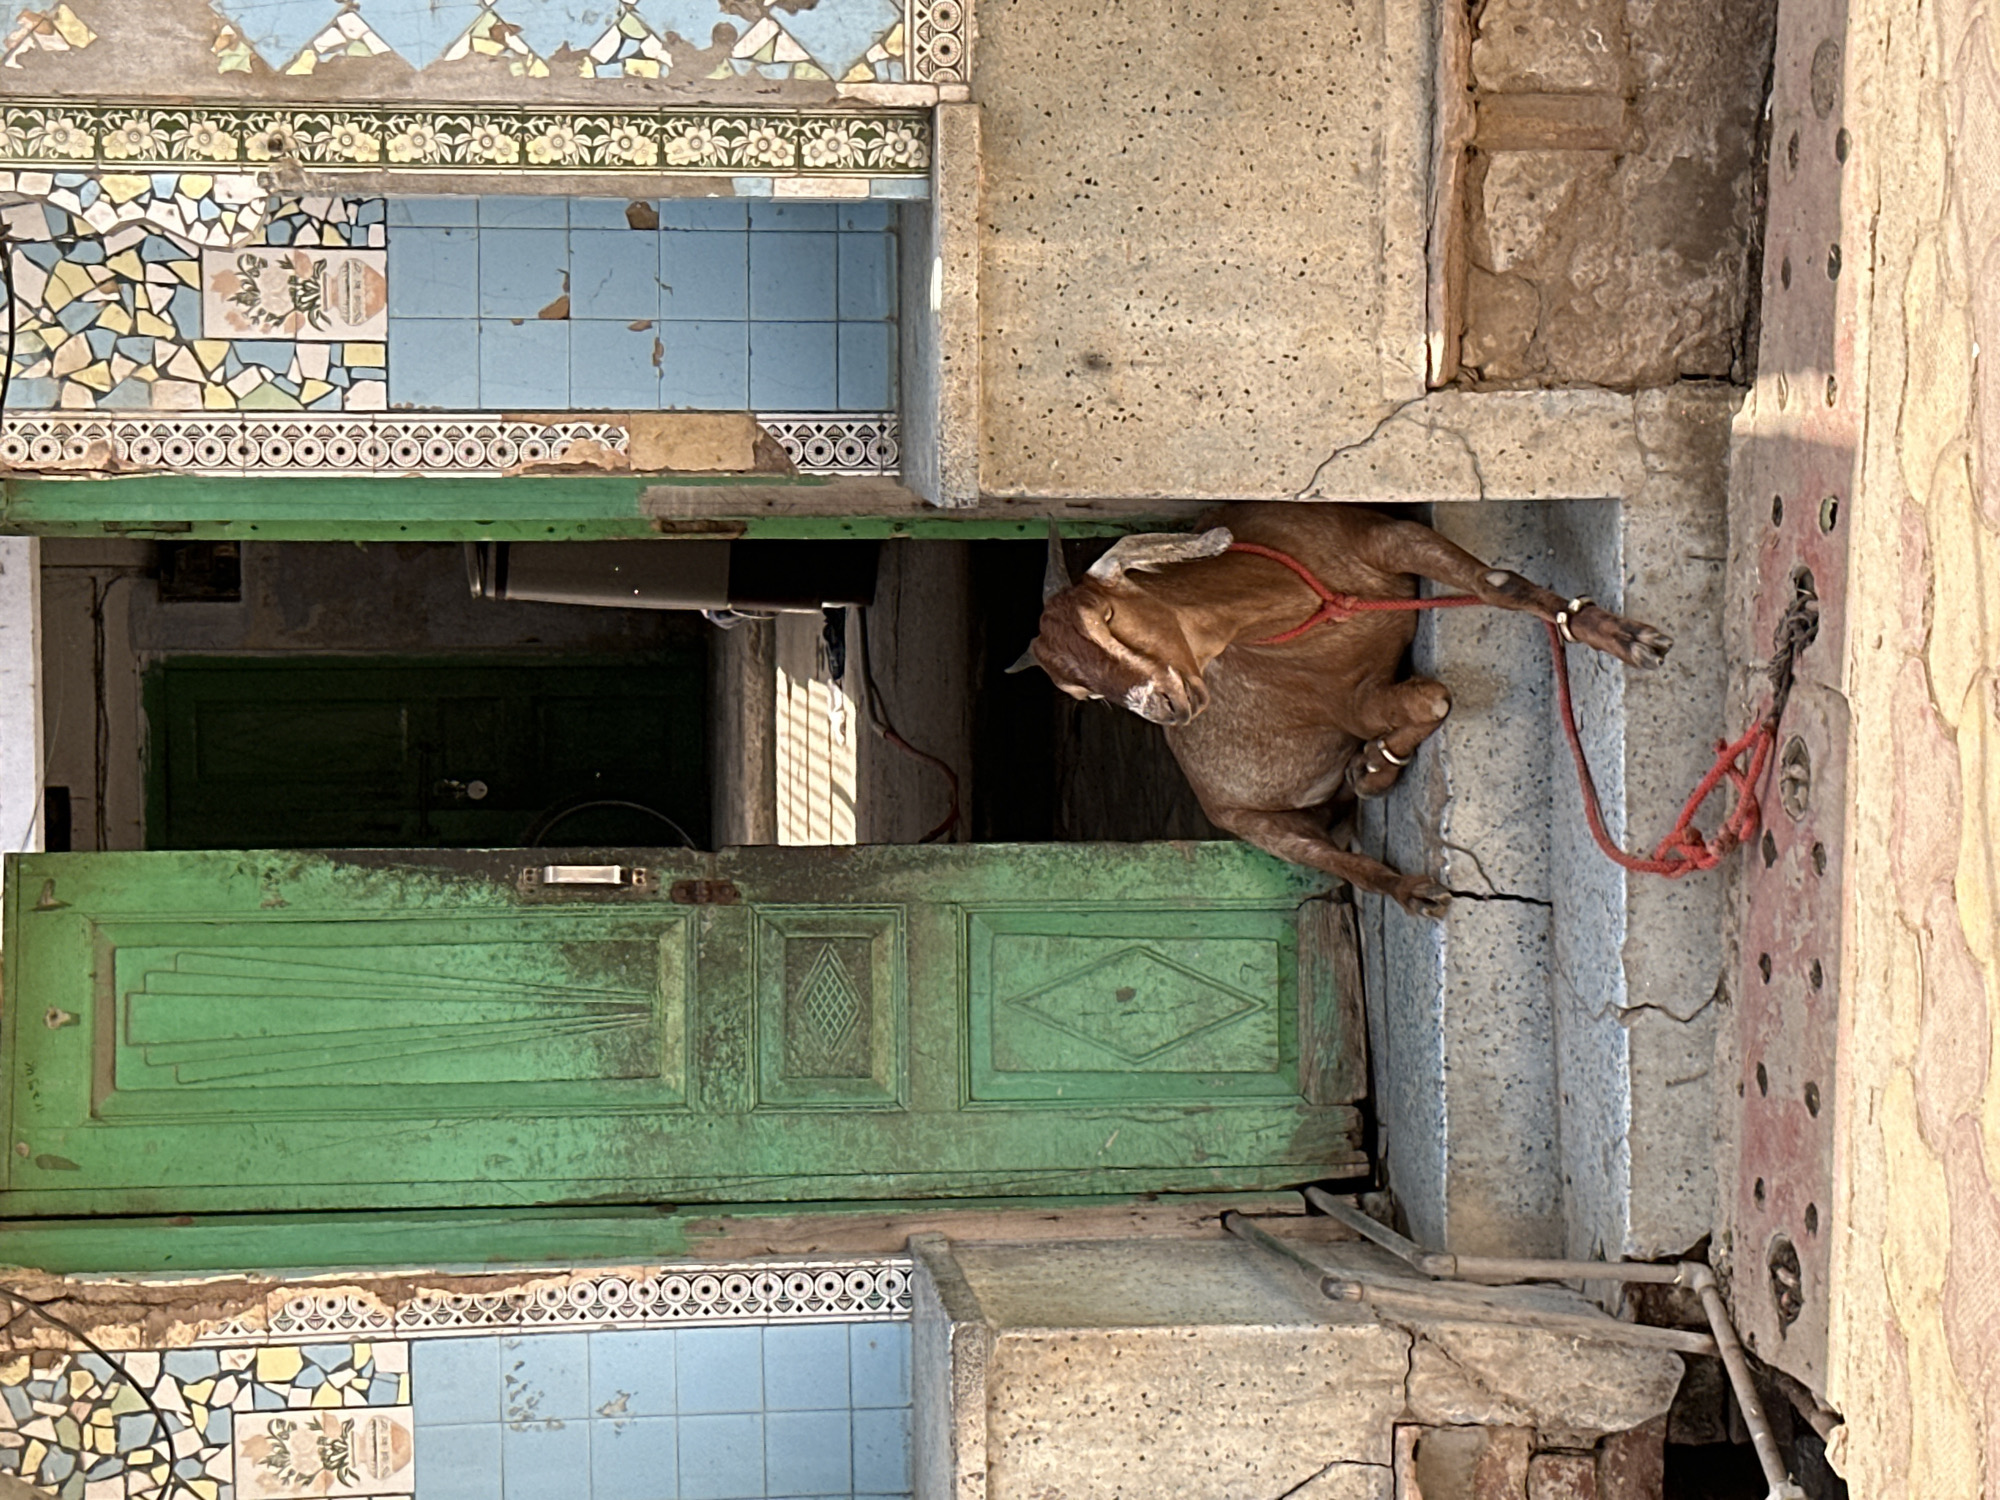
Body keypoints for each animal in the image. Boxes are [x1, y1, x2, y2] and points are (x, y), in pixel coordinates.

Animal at [1012, 503, 1674, 917]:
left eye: (1107, 615)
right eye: (1083, 695)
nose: (1166, 707)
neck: (1302, 601)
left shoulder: (1391, 538)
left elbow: (1499, 584)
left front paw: (1618, 635)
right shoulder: (1350, 701)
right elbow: (1435, 697)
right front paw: (1376, 769)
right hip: (1255, 825)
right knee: (1340, 864)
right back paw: (1411, 890)